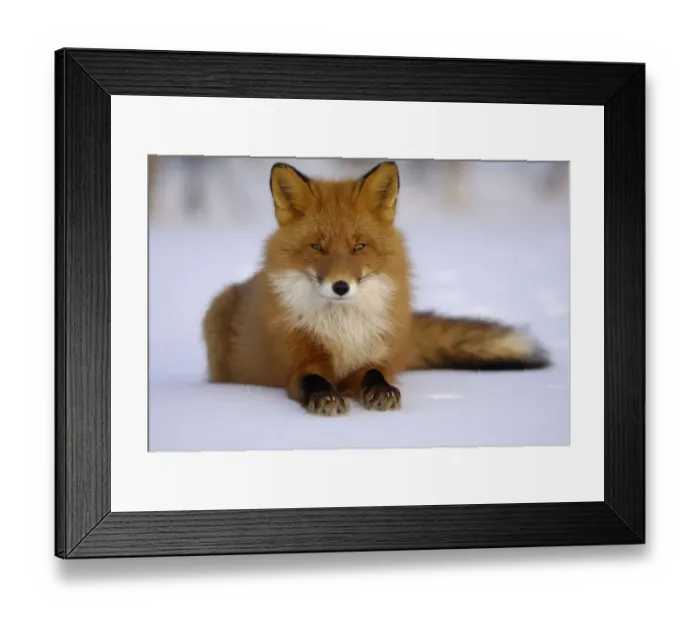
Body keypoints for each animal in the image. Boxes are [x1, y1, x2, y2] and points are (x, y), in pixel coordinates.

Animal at [203, 161, 550, 416]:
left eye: (359, 246)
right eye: (317, 247)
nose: (340, 286)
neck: (342, 328)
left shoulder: (371, 357)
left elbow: (375, 375)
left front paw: (382, 392)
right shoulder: (298, 362)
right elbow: (313, 380)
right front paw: (327, 399)